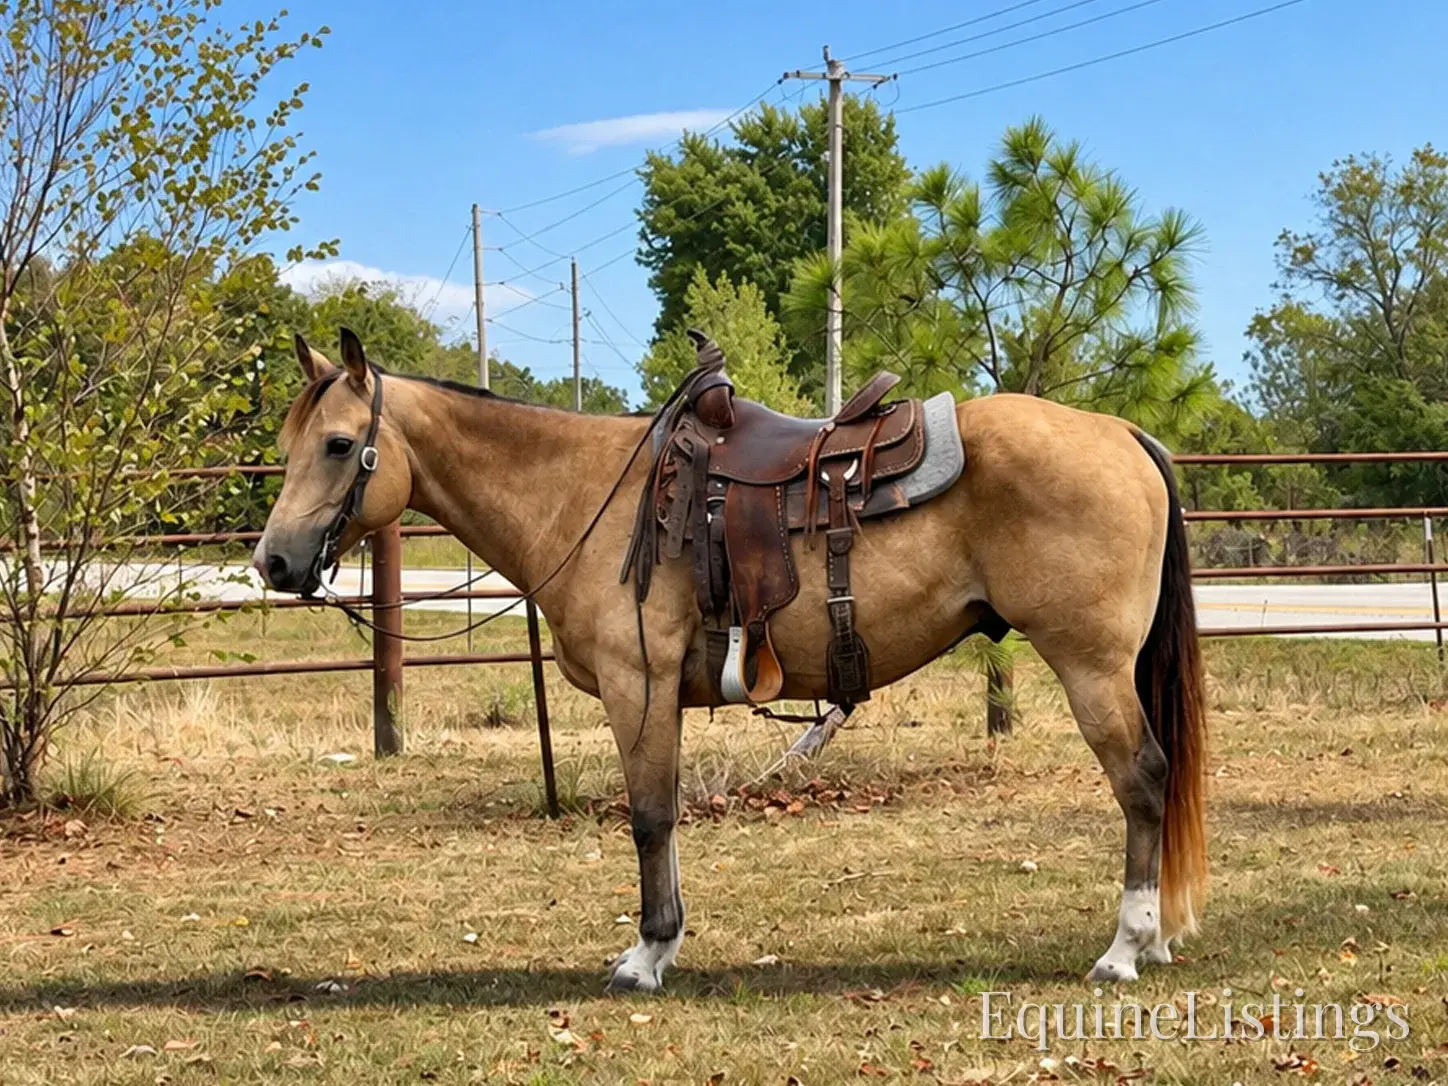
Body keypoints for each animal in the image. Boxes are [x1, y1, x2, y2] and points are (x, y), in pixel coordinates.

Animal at [253, 328, 1207, 991]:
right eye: (291, 444)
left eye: (337, 444)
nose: (274, 563)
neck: (582, 494)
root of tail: (1125, 434)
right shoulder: (657, 699)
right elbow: (668, 816)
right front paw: (665, 941)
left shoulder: (637, 688)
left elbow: (647, 818)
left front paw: (644, 957)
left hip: (1091, 668)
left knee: (1144, 780)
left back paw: (1126, 947)